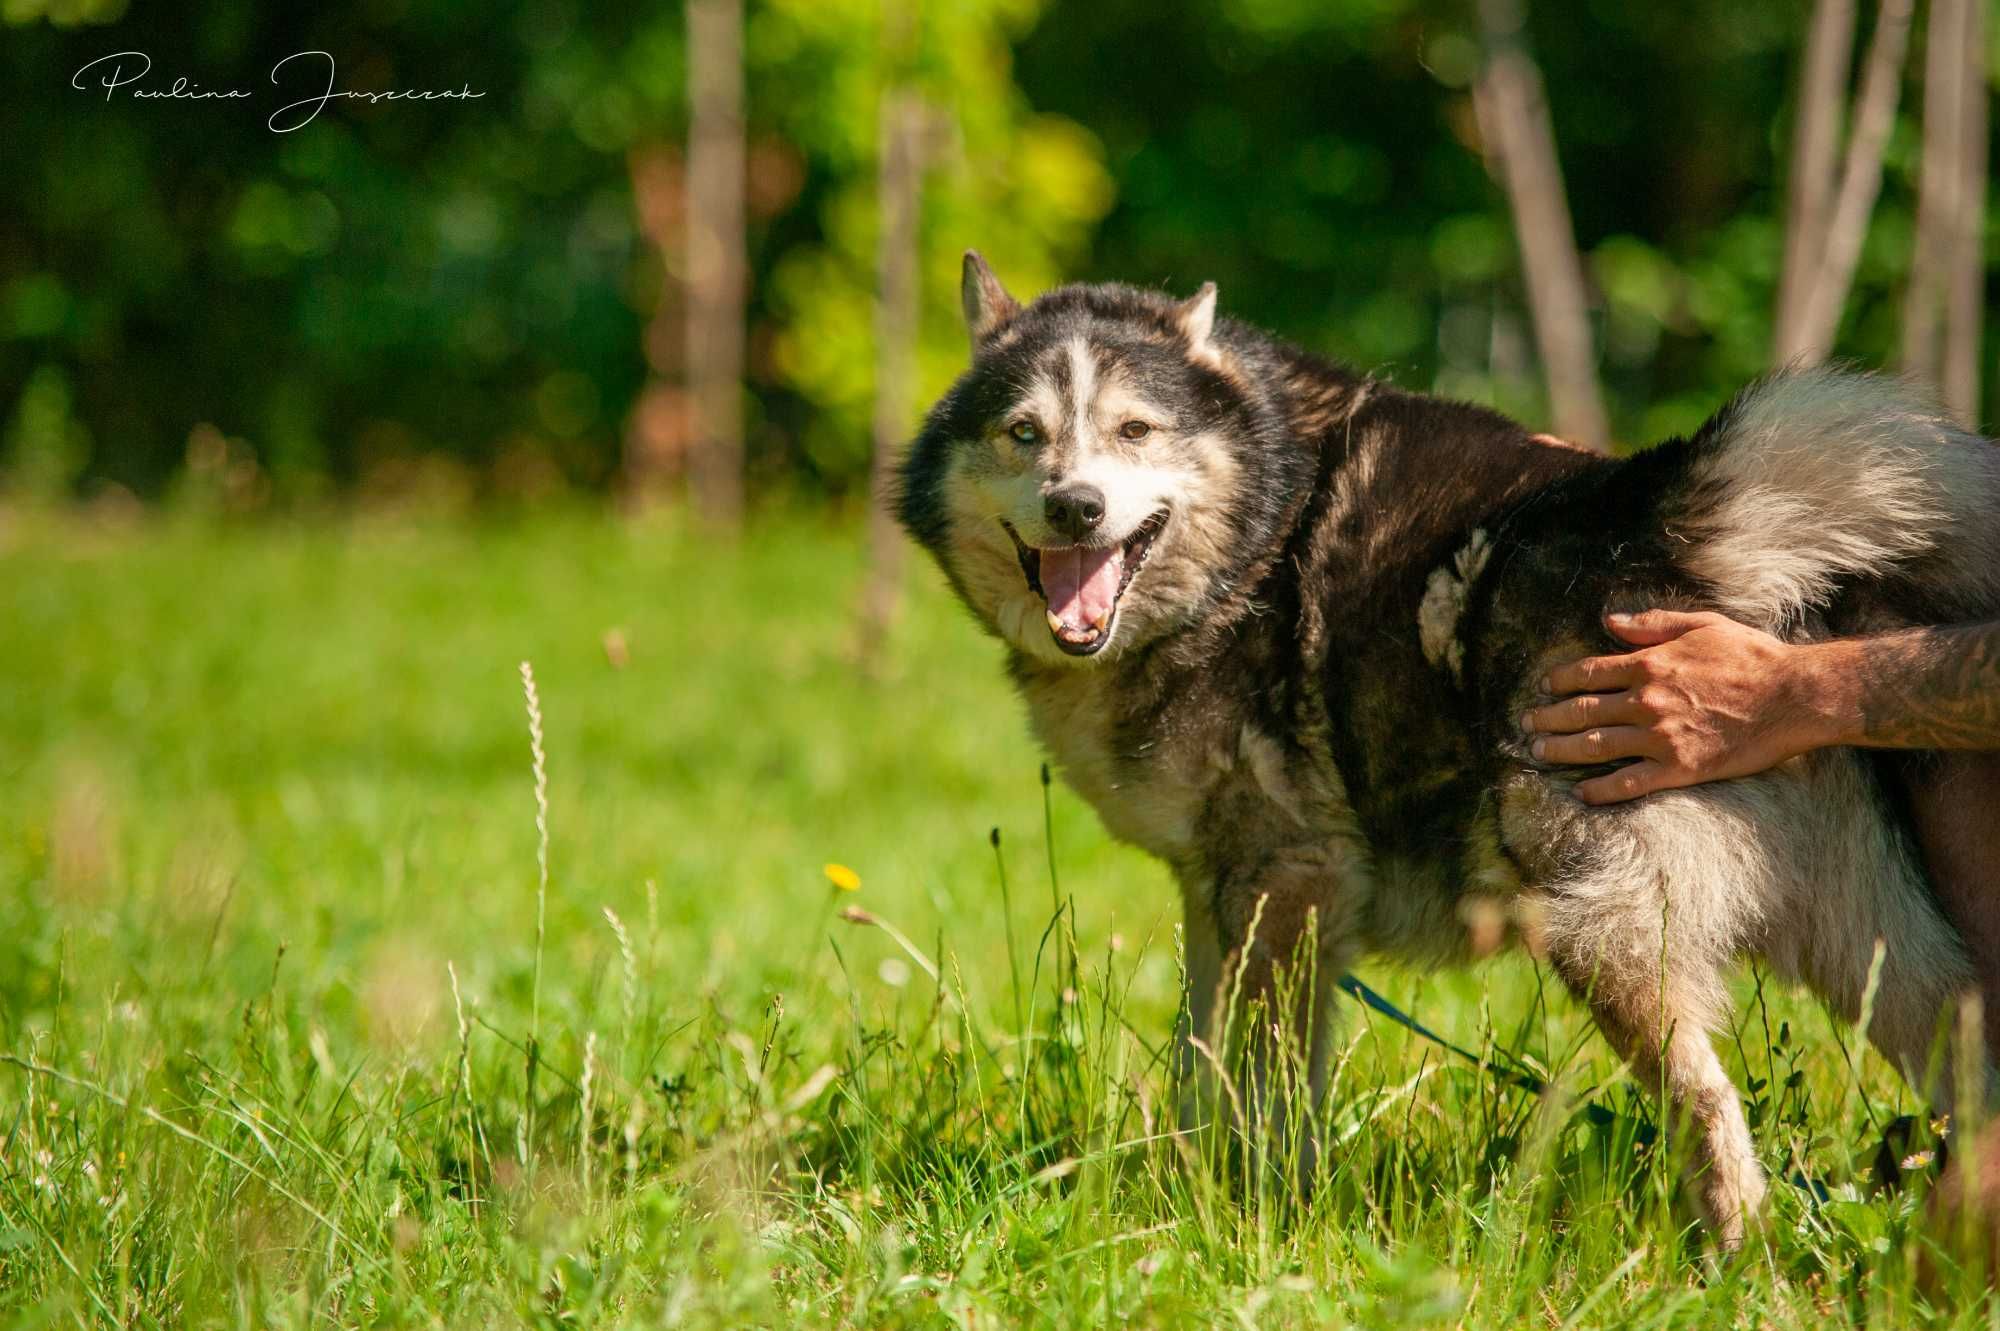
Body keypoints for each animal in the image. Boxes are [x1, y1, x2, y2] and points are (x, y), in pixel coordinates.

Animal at [904, 253, 2000, 1239]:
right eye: (1023, 433)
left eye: (1135, 430)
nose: (1075, 506)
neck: (1255, 536)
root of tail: (1655, 523)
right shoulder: (1216, 892)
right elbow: (1196, 1066)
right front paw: (1183, 1194)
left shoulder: (1285, 886)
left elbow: (1265, 1090)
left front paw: (1258, 1219)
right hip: (1875, 948)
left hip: (1602, 934)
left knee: (1709, 1114)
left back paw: (1735, 1265)